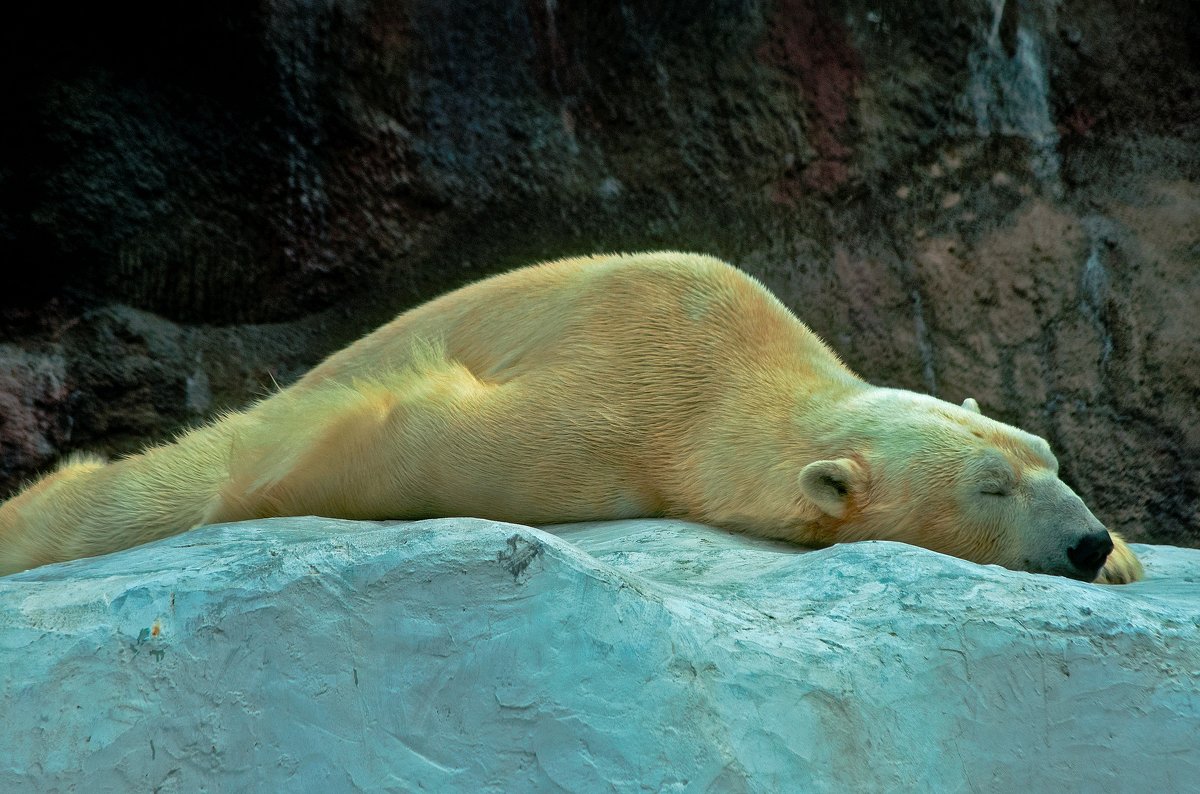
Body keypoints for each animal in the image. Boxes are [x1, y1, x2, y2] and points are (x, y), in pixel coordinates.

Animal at [0, 255, 1142, 585]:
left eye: (1048, 457)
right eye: (988, 489)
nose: (1085, 543)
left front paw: (1131, 552)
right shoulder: (611, 416)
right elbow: (385, 436)